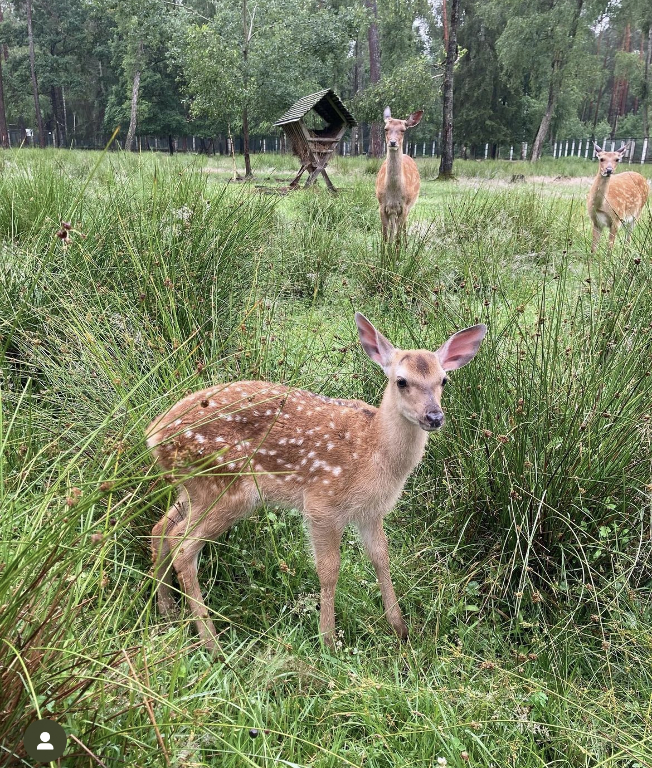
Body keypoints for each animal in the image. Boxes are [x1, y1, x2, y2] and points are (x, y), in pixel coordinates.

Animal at [146, 316, 484, 652]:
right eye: (401, 381)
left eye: (444, 380)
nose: (434, 416)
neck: (374, 451)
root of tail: (153, 434)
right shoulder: (322, 501)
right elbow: (329, 570)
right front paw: (328, 639)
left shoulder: (371, 512)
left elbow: (381, 558)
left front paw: (400, 629)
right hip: (227, 487)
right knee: (183, 546)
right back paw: (211, 642)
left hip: (193, 487)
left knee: (161, 528)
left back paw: (168, 611)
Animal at [376, 106, 422, 242]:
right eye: (386, 128)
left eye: (403, 130)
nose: (392, 142)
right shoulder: (382, 205)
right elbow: (385, 237)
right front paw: (385, 248)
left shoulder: (404, 207)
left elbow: (398, 238)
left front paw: (398, 248)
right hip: (393, 212)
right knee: (393, 228)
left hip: (410, 206)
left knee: (403, 228)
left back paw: (406, 245)